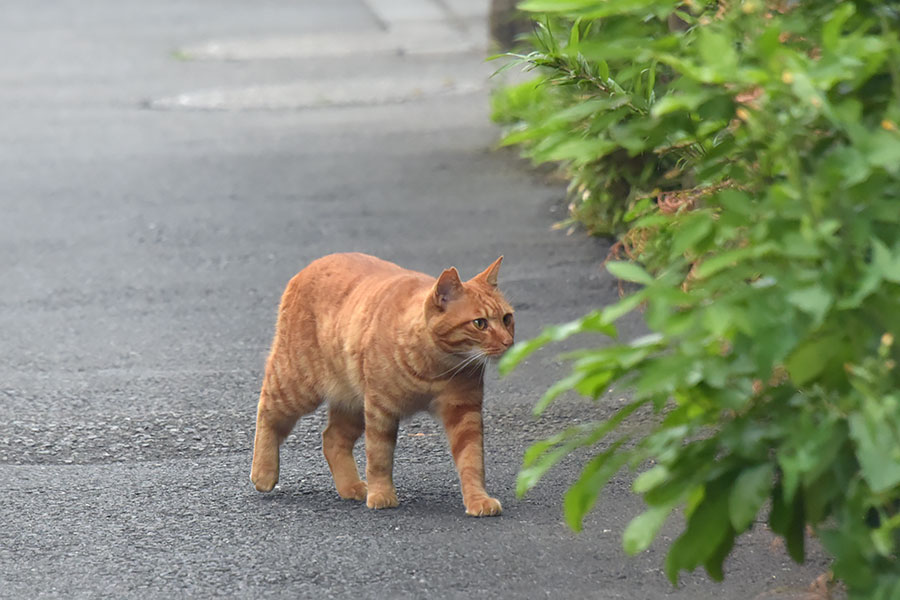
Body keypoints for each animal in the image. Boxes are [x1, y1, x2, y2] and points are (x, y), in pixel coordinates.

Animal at [250, 252, 512, 516]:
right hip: (297, 385)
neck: (434, 368)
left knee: (332, 439)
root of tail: (314, 264)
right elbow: (379, 458)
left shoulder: (464, 412)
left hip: (353, 403)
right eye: (480, 323)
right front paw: (382, 494)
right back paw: (263, 472)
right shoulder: (380, 410)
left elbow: (472, 460)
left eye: (507, 319)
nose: (508, 342)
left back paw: (351, 487)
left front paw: (477, 499)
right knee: (267, 413)